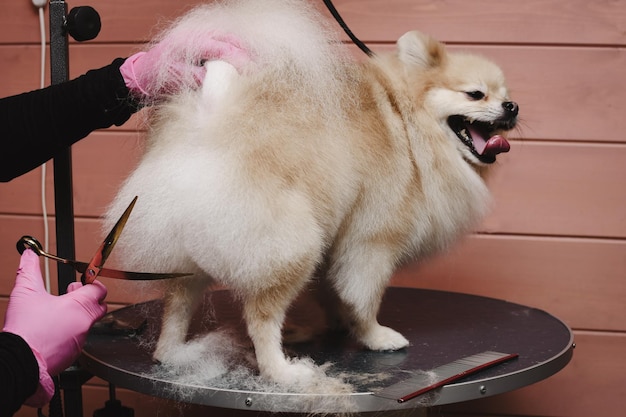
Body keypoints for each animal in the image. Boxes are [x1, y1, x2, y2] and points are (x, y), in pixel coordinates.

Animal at [103, 0, 516, 386]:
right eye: (476, 95)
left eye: (505, 94)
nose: (511, 106)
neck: (408, 119)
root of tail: (211, 116)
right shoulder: (372, 242)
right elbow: (363, 298)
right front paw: (375, 336)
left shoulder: (337, 238)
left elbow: (333, 292)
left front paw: (337, 324)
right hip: (291, 245)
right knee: (261, 317)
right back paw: (282, 371)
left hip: (189, 245)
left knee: (177, 302)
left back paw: (173, 353)